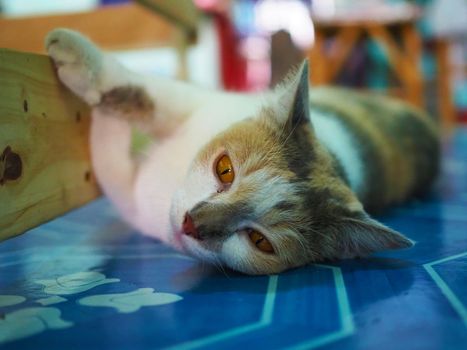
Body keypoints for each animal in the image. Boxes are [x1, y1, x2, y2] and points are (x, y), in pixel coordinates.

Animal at [45, 28, 440, 274]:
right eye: (224, 169)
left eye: (259, 241)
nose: (191, 224)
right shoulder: (201, 103)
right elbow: (139, 93)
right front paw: (78, 58)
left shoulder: (133, 200)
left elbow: (106, 155)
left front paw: (96, 120)